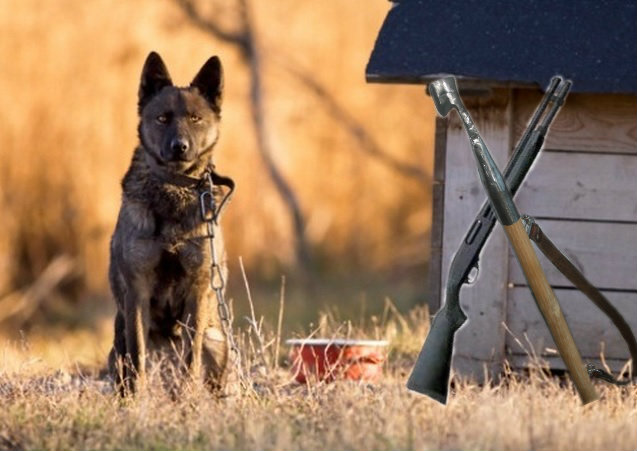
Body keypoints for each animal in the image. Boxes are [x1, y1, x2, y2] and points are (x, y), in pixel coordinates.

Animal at [108, 51, 235, 394]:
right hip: (116, 345)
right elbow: (138, 356)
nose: (180, 147)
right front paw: (138, 399)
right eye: (162, 118)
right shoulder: (137, 290)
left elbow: (191, 357)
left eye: (195, 118)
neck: (173, 190)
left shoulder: (198, 287)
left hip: (219, 342)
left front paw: (188, 397)